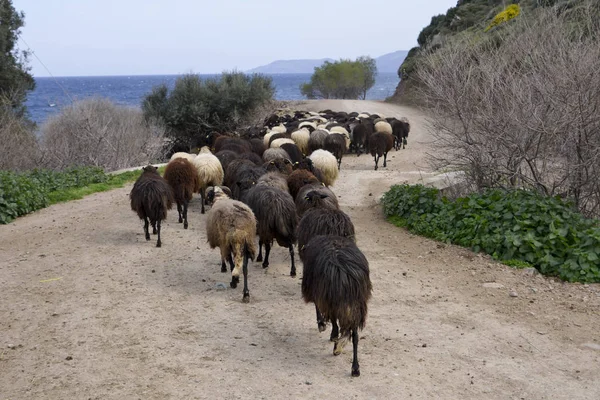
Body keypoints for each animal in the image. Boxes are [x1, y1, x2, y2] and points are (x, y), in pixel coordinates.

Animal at [300, 233, 370, 376]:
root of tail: (345, 273)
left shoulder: (319, 292)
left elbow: (320, 309)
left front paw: (323, 325)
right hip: (357, 304)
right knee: (355, 335)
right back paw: (355, 368)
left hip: (333, 299)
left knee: (338, 325)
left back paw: (336, 346)